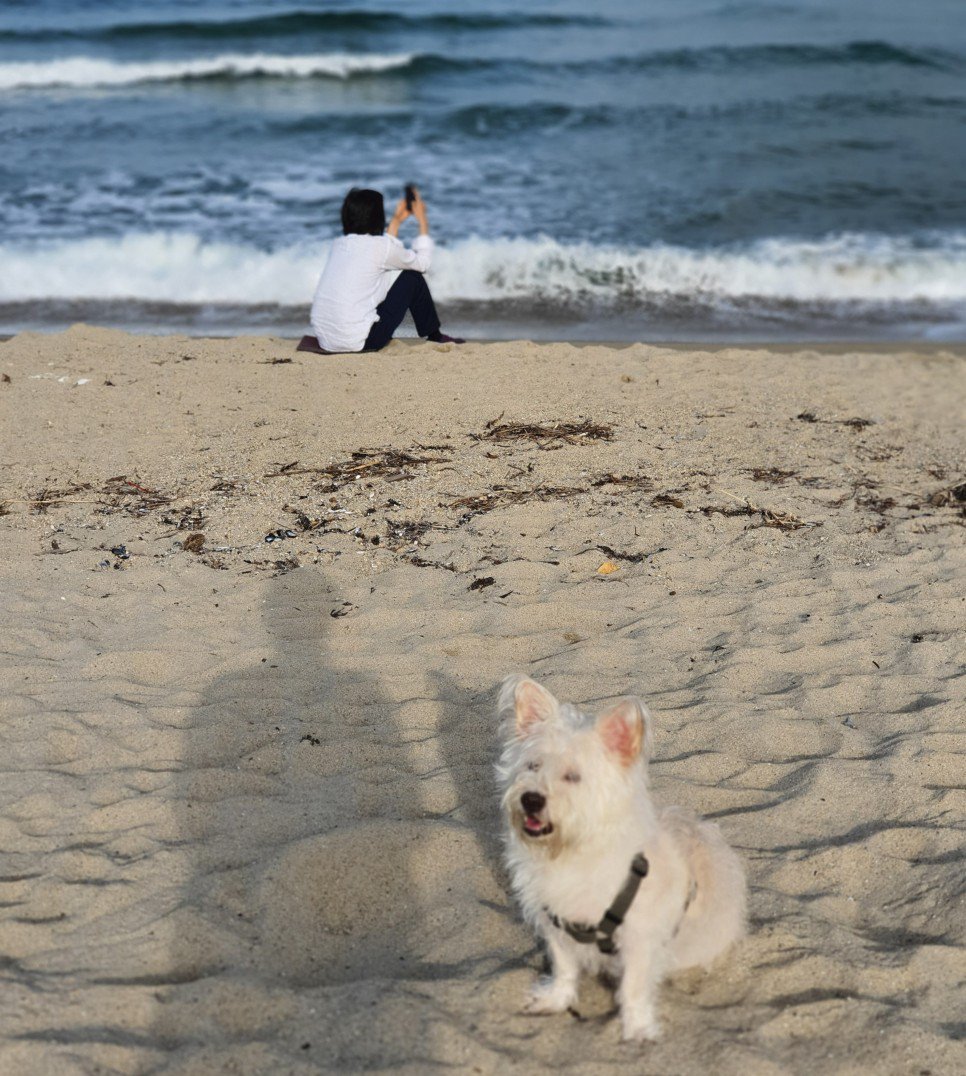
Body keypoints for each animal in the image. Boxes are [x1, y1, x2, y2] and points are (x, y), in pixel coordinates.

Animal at [496, 675, 744, 1037]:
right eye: (533, 765)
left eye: (573, 776)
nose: (530, 799)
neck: (575, 851)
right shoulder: (555, 923)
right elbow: (564, 968)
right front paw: (556, 1000)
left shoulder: (640, 938)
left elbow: (634, 987)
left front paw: (638, 1029)